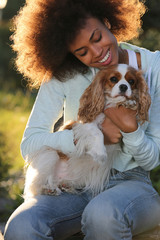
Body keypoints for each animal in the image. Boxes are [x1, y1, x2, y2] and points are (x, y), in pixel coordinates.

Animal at [23, 63, 150, 199]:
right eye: (113, 79)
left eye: (131, 81)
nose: (123, 86)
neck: (112, 103)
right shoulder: (84, 125)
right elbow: (98, 133)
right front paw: (100, 153)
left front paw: (130, 103)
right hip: (50, 155)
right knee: (36, 187)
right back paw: (49, 189)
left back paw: (65, 185)